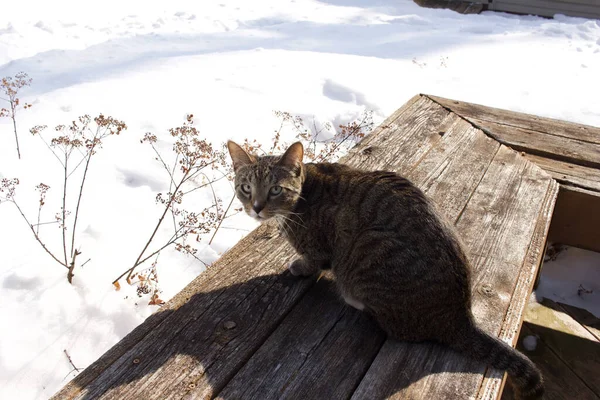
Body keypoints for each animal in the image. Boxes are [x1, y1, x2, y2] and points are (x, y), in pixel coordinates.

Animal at [226, 139, 544, 398]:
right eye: (246, 188)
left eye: (275, 189)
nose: (256, 207)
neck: (305, 192)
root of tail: (460, 317)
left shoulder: (320, 247)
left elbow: (313, 261)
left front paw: (299, 267)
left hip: (372, 248)